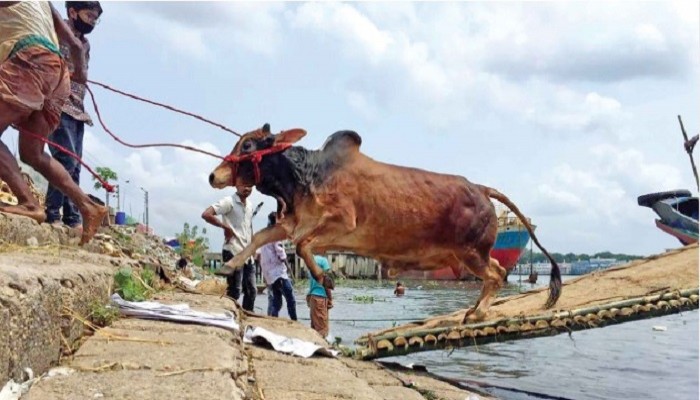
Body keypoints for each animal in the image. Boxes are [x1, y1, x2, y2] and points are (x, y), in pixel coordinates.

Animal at [211, 123, 560, 320]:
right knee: (497, 272)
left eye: (248, 144)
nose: (214, 175)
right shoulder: (293, 223)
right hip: (468, 255)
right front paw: (229, 266)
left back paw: (478, 313)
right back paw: (474, 309)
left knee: (498, 274)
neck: (306, 176)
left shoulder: (343, 222)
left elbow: (305, 245)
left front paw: (326, 279)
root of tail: (481, 188)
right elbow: (260, 239)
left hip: (471, 253)